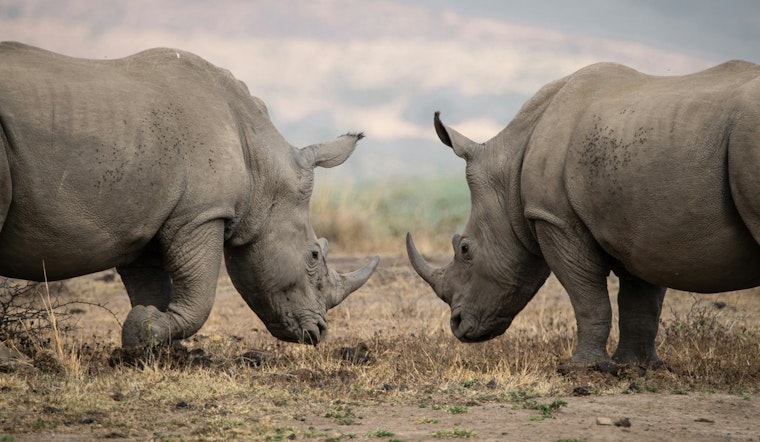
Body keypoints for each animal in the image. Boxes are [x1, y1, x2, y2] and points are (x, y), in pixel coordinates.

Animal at [0, 42, 379, 347]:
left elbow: (150, 286)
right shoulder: (201, 214)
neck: (262, 166)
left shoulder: (144, 221)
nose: (319, 333)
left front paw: (150, 340)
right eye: (313, 255)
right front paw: (147, 332)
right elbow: (200, 295)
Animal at [407, 60, 760, 366]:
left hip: (748, 140)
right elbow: (641, 302)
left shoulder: (555, 218)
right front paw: (637, 367)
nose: (457, 324)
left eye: (465, 249)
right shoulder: (642, 228)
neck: (508, 171)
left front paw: (583, 369)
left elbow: (587, 296)